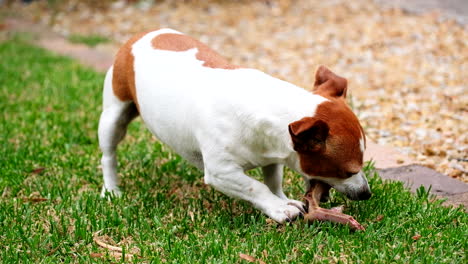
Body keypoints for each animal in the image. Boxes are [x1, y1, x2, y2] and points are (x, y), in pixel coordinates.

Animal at [97, 28, 372, 223]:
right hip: (113, 116)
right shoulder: (221, 172)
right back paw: (111, 190)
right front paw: (278, 208)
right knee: (108, 156)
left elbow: (273, 181)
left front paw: (282, 199)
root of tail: (143, 35)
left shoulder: (273, 157)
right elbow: (256, 187)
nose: (366, 194)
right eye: (347, 171)